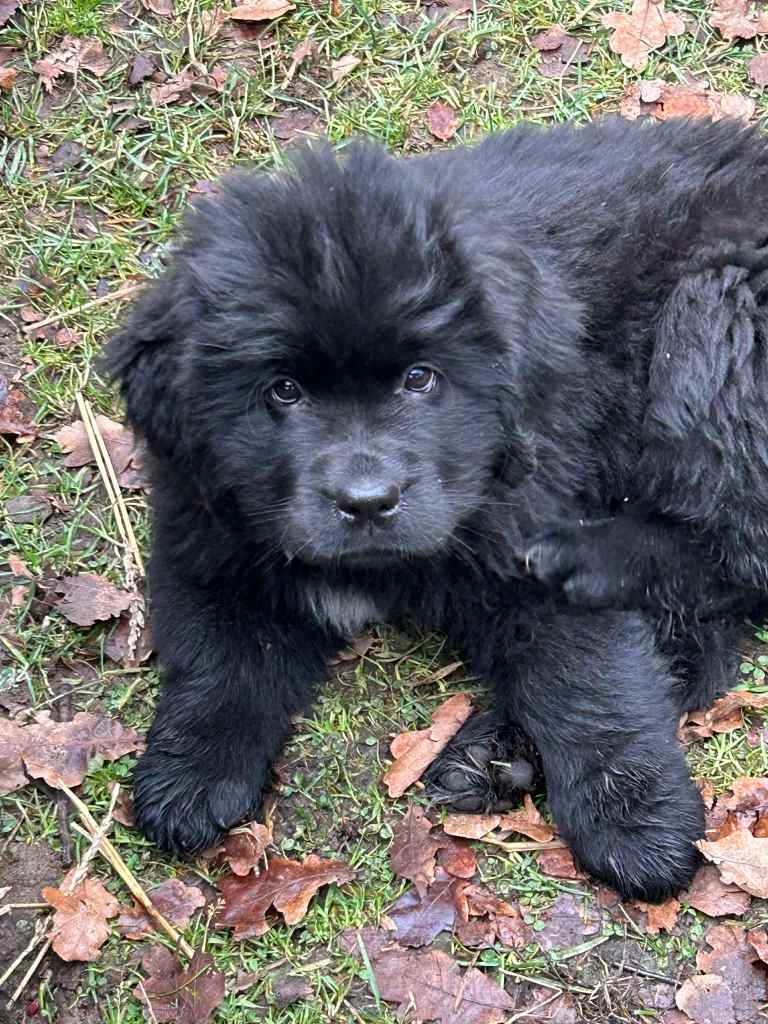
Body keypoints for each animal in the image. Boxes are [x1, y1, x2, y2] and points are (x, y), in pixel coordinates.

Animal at [107, 116, 768, 901]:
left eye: (421, 378)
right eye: (283, 390)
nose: (367, 501)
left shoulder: (533, 507)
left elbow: (589, 678)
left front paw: (635, 820)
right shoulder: (206, 532)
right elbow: (218, 658)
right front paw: (191, 774)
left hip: (716, 311)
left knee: (738, 547)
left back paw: (584, 570)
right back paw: (498, 753)